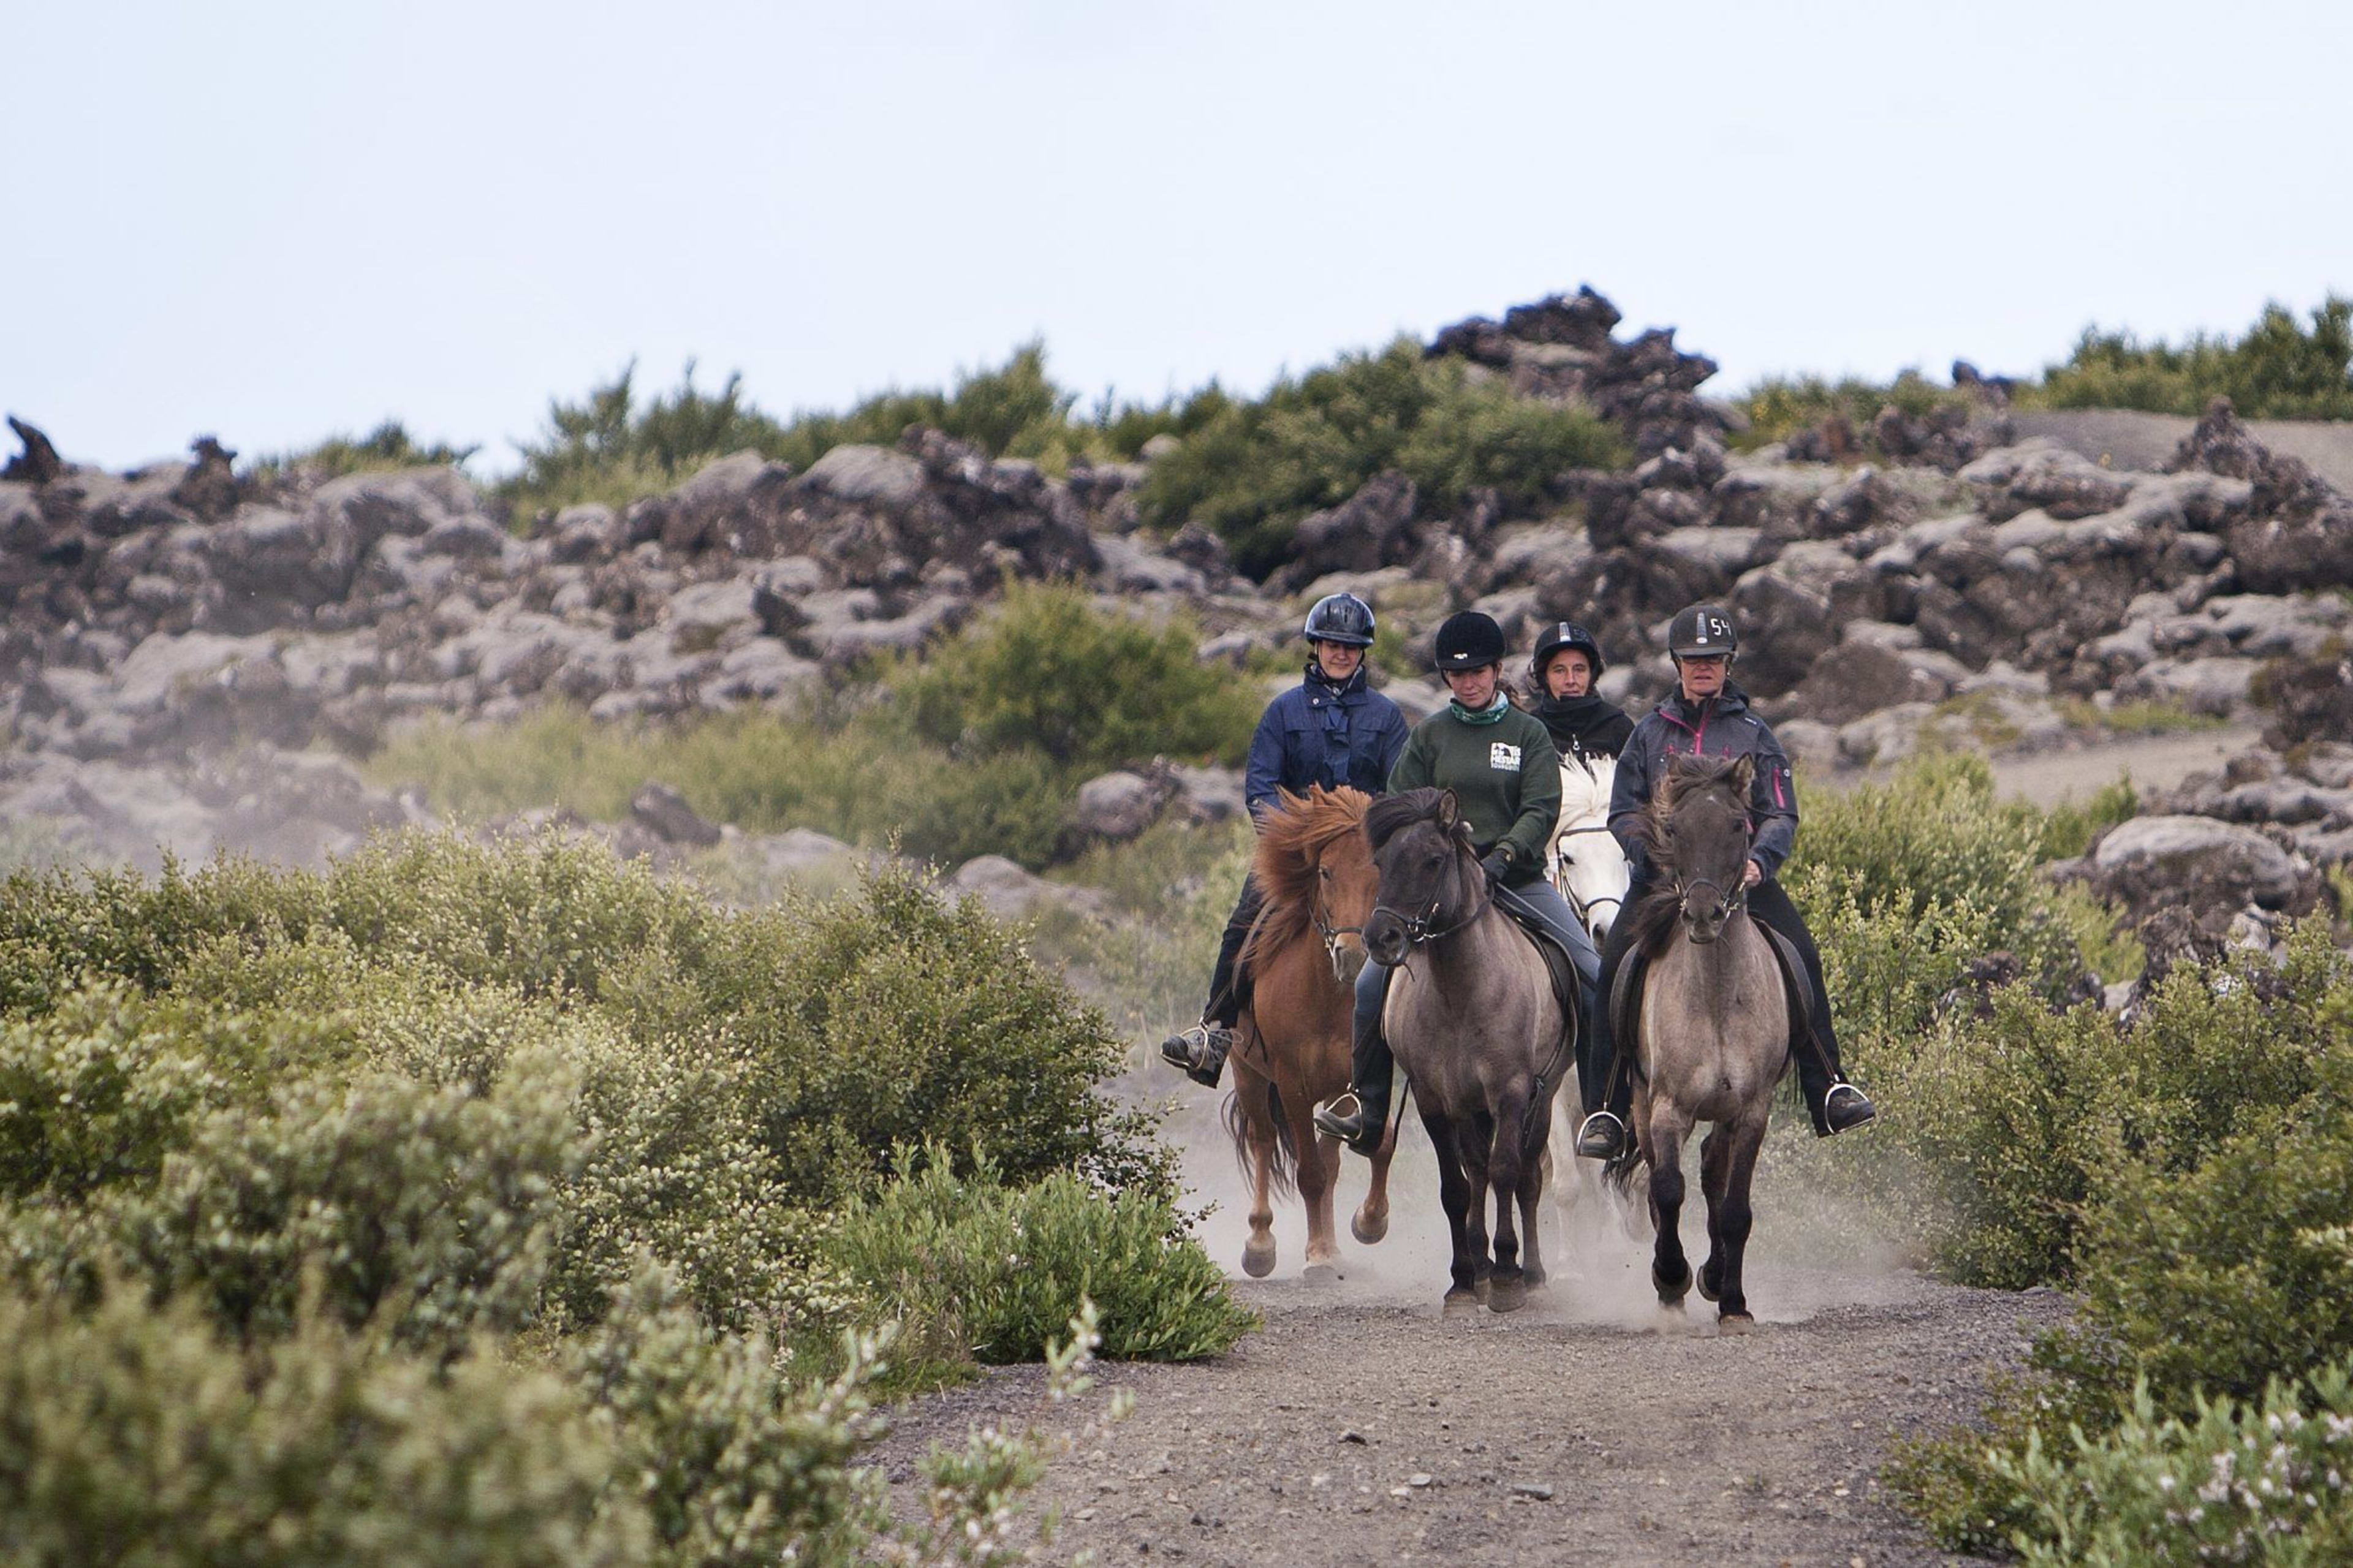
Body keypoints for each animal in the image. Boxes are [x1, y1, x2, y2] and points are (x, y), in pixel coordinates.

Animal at [1223, 786, 1383, 1281]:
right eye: (1325, 872)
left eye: (1381, 871)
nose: (1353, 955)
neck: (1328, 995)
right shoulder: (1291, 1081)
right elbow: (1309, 1172)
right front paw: (1316, 1256)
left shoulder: (1351, 1082)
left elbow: (1340, 1160)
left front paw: (1353, 1232)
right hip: (1249, 1075)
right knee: (1262, 1140)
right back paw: (1259, 1244)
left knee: (1328, 1159)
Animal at [1365, 781, 1562, 1309]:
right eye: (1380, 860)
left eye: (1433, 860)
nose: (1381, 937)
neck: (1461, 990)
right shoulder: (1434, 1098)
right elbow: (1456, 1186)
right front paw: (1464, 1278)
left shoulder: (1511, 1091)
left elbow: (1508, 1171)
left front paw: (1510, 1273)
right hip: (1470, 1106)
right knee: (1476, 1170)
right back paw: (1482, 1265)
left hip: (1543, 1098)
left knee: (1528, 1177)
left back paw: (1533, 1273)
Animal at [1618, 753, 1797, 1328]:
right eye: (1673, 828)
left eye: (1739, 825)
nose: (1702, 914)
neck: (1718, 996)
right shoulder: (1667, 1108)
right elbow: (1666, 1190)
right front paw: (1670, 1278)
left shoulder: (1752, 1111)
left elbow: (1736, 1208)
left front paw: (1734, 1302)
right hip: (1642, 1103)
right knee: (1665, 1185)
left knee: (1713, 1174)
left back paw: (1716, 1276)